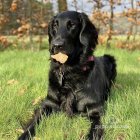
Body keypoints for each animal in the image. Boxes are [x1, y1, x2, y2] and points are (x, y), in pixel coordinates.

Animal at [18, 11, 117, 140]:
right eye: (55, 25)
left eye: (72, 25)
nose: (56, 45)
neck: (70, 70)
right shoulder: (48, 104)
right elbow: (33, 123)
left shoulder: (95, 111)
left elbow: (94, 132)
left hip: (110, 59)